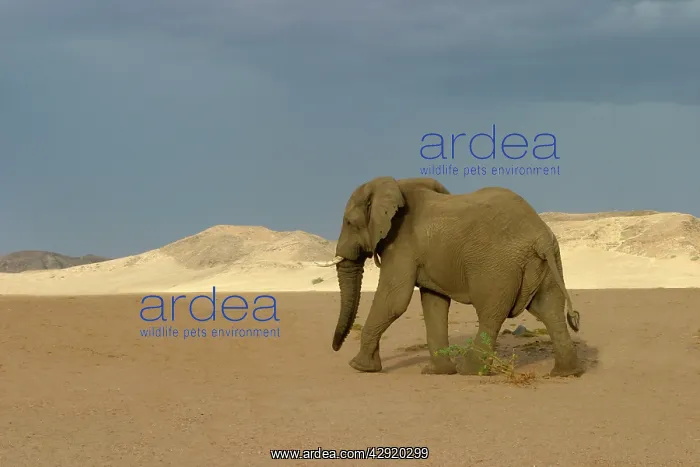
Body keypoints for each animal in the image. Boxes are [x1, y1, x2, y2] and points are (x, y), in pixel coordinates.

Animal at [317, 176, 583, 377]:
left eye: (349, 222)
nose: (335, 347)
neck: (395, 185)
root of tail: (540, 235)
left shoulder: (401, 244)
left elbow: (394, 300)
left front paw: (359, 367)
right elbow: (434, 302)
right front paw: (438, 372)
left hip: (497, 266)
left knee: (490, 314)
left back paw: (470, 371)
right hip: (548, 262)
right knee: (549, 311)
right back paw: (565, 373)